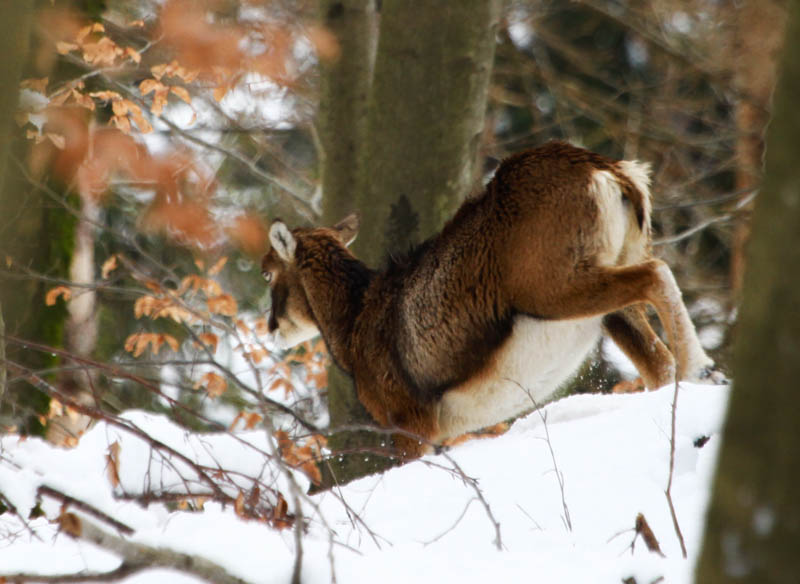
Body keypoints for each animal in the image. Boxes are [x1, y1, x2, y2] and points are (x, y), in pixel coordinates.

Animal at [260, 140, 720, 456]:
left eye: (267, 271)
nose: (271, 328)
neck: (355, 324)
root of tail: (612, 174)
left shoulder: (410, 423)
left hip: (553, 286)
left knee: (656, 274)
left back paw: (703, 369)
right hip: (612, 298)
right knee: (657, 362)